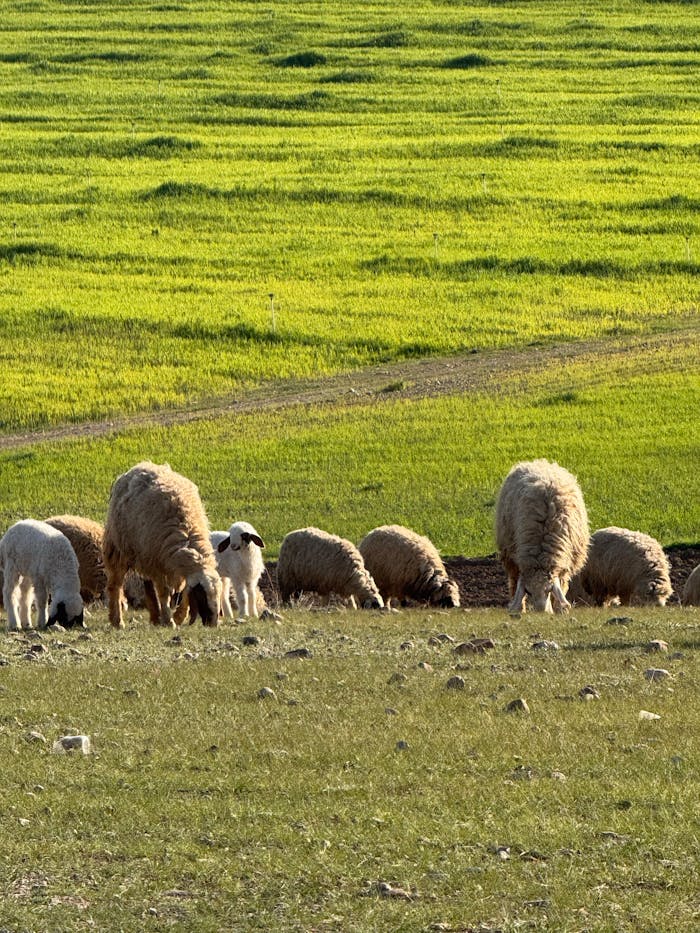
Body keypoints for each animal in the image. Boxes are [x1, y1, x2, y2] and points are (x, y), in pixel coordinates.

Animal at [103, 461, 222, 628]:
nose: (213, 623)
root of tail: (141, 465)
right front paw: (169, 620)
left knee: (147, 585)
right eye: (201, 595)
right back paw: (117, 621)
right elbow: (164, 592)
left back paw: (155, 617)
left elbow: (184, 591)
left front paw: (178, 616)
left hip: (143, 552)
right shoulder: (158, 563)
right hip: (121, 548)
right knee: (116, 584)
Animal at [495, 459, 589, 613]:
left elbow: (561, 586)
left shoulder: (564, 564)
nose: (541, 613)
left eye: (549, 590)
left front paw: (559, 609)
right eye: (528, 591)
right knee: (514, 581)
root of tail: (539, 462)